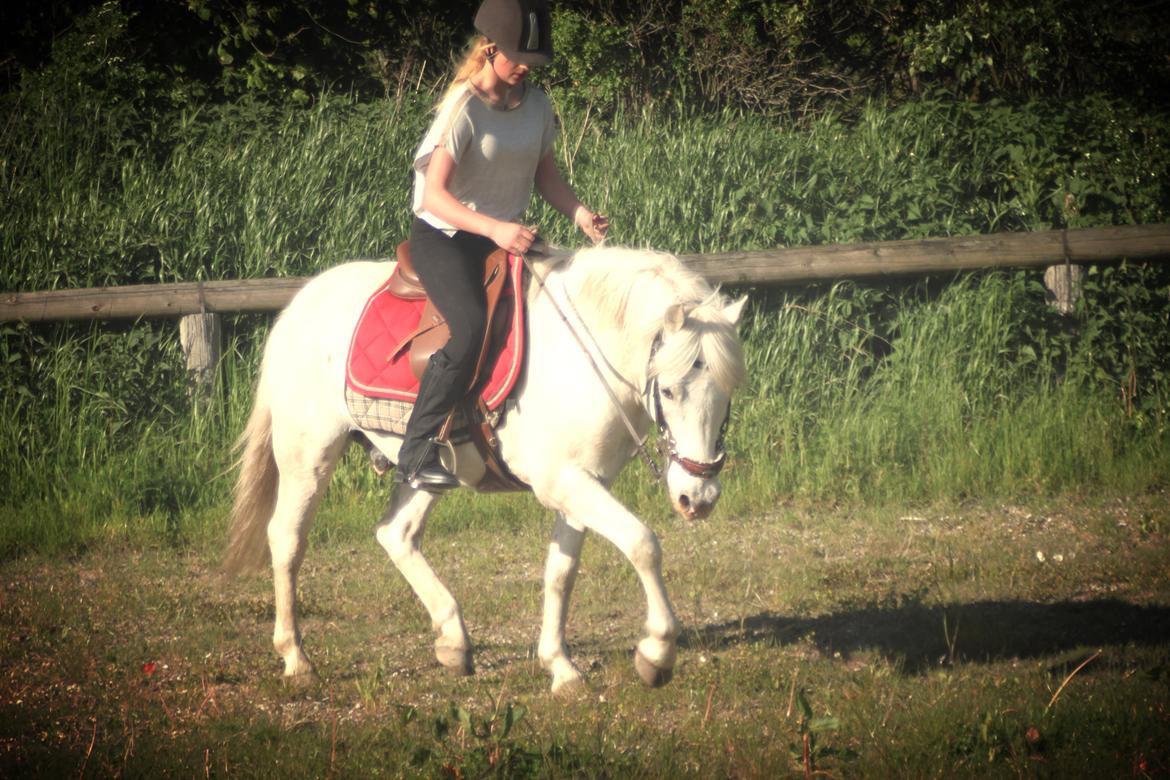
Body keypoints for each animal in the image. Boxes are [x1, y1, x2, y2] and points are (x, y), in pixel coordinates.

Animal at [223, 245, 744, 696]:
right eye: (670, 390)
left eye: (727, 393)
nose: (697, 498)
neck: (583, 356)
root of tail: (299, 306)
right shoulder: (564, 482)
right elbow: (643, 544)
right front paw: (656, 652)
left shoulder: (583, 481)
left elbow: (561, 572)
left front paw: (560, 666)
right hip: (308, 456)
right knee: (287, 540)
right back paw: (296, 658)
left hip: (427, 470)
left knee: (396, 533)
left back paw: (453, 641)